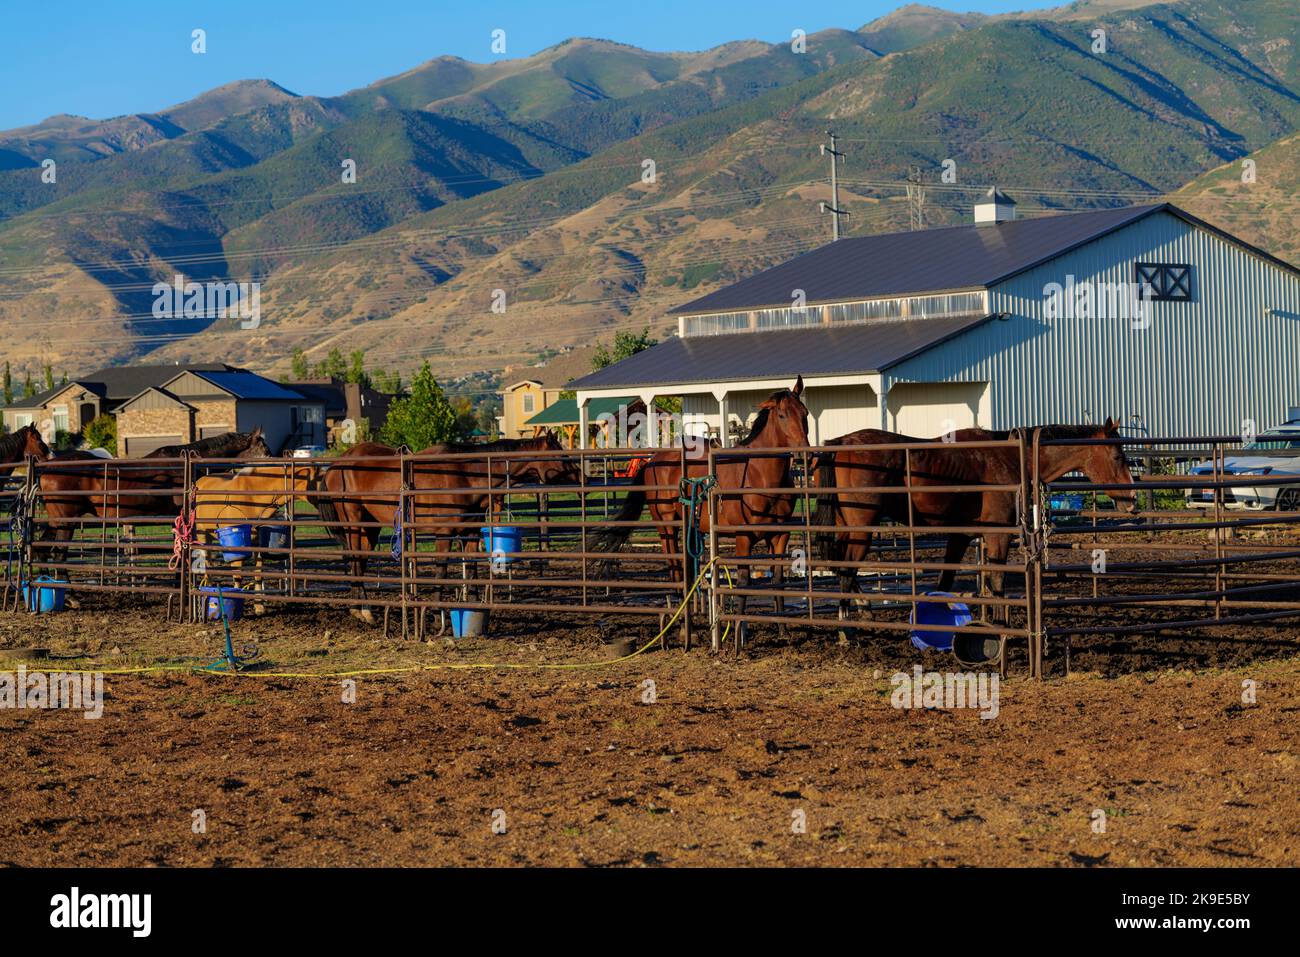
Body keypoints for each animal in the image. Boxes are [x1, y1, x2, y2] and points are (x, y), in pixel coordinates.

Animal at [314, 431, 579, 624]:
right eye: (561, 455)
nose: (581, 477)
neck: (467, 475)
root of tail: (336, 466)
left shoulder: (470, 533)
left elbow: (470, 568)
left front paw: (472, 606)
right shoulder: (444, 533)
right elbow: (441, 570)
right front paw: (434, 611)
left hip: (369, 527)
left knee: (359, 560)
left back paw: (361, 609)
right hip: (354, 523)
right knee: (355, 559)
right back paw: (363, 610)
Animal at [592, 377, 811, 647]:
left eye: (805, 413)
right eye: (782, 415)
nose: (804, 454)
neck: (759, 474)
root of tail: (653, 460)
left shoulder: (780, 536)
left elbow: (778, 580)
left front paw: (782, 629)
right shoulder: (743, 537)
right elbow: (744, 580)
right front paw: (739, 632)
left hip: (691, 529)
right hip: (667, 527)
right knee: (676, 571)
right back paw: (684, 629)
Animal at [811, 418, 1138, 621]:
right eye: (1117, 456)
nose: (1132, 500)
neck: (1012, 458)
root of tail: (841, 443)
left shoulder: (962, 536)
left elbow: (948, 581)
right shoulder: (998, 535)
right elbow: (997, 581)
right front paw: (999, 624)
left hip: (845, 526)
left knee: (841, 565)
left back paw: (863, 611)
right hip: (862, 528)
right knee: (847, 566)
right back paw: (846, 623)